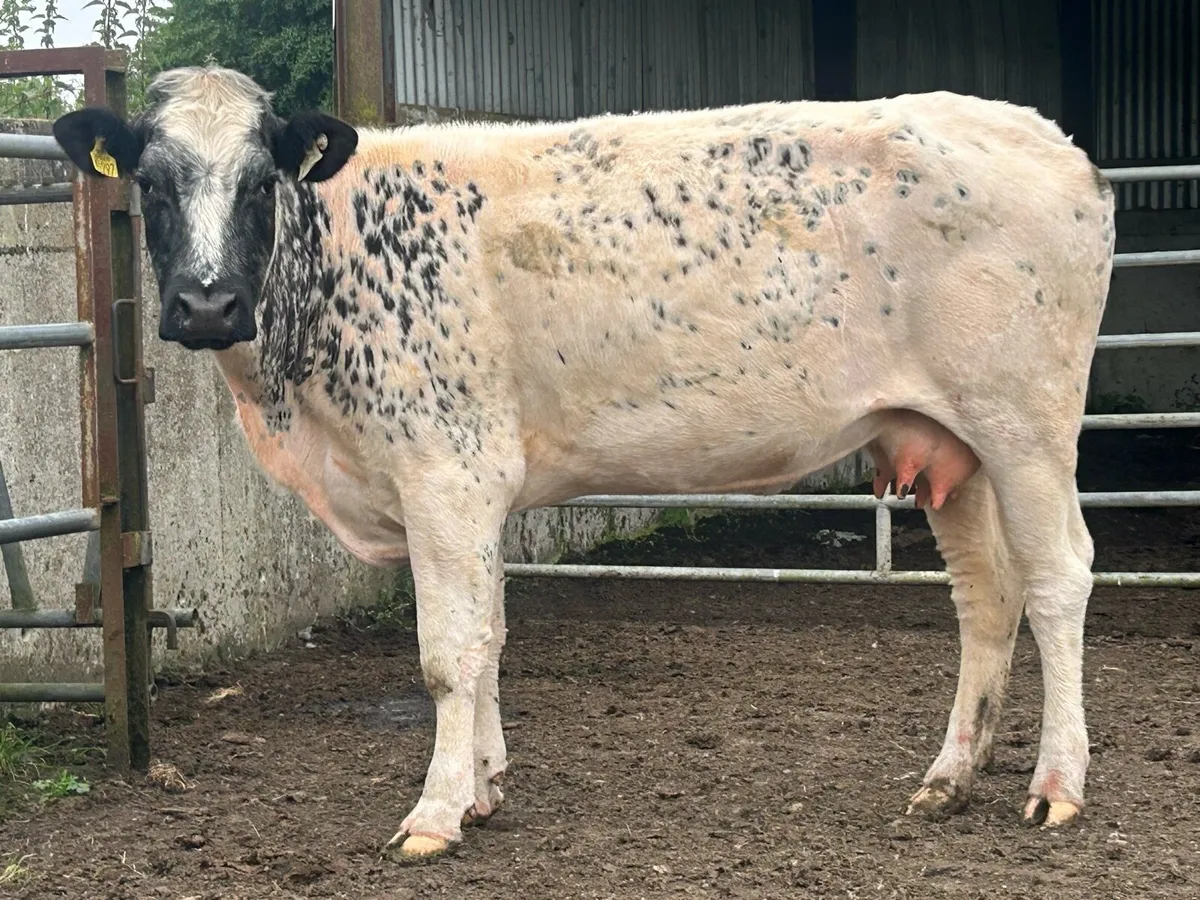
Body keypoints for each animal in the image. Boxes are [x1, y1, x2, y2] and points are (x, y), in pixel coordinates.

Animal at [52, 65, 1115, 862]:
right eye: (150, 182)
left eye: (257, 181)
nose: (206, 304)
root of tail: (1047, 138)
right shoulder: (474, 494)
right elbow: (489, 639)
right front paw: (482, 789)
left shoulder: (445, 474)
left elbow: (448, 654)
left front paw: (434, 814)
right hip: (948, 444)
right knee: (987, 597)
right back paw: (949, 778)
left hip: (1025, 423)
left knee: (1059, 579)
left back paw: (1058, 783)